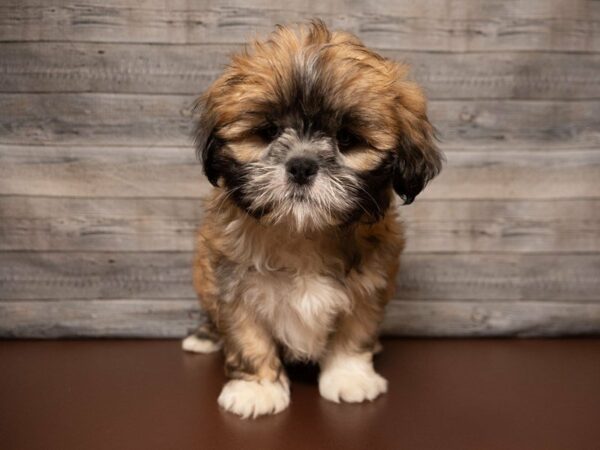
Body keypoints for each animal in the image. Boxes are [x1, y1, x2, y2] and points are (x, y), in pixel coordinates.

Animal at [182, 20, 440, 418]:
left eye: (346, 139)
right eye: (269, 131)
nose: (302, 166)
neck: (302, 231)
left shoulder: (369, 285)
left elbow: (354, 332)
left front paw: (350, 377)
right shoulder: (231, 282)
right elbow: (248, 336)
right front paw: (257, 387)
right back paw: (204, 337)